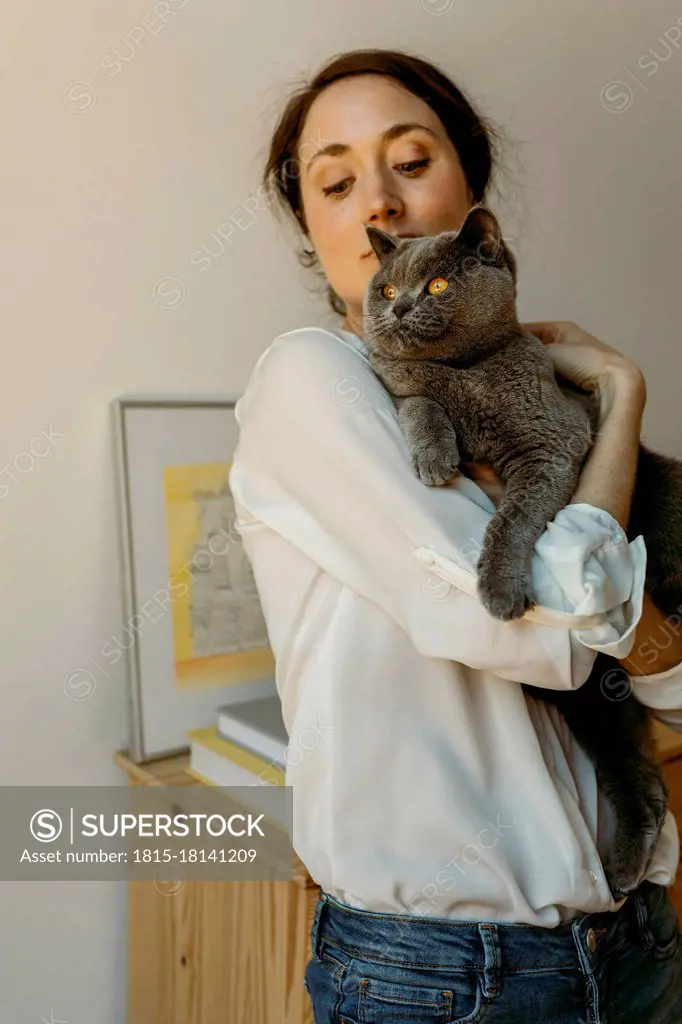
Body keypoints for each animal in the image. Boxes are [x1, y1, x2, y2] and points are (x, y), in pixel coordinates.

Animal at [360, 205, 679, 897]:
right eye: (388, 287)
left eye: (437, 286)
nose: (398, 309)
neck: (463, 375)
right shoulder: (405, 390)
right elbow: (417, 404)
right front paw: (433, 458)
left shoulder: (551, 445)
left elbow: (511, 521)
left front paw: (500, 592)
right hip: (589, 701)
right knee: (646, 785)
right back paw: (622, 872)